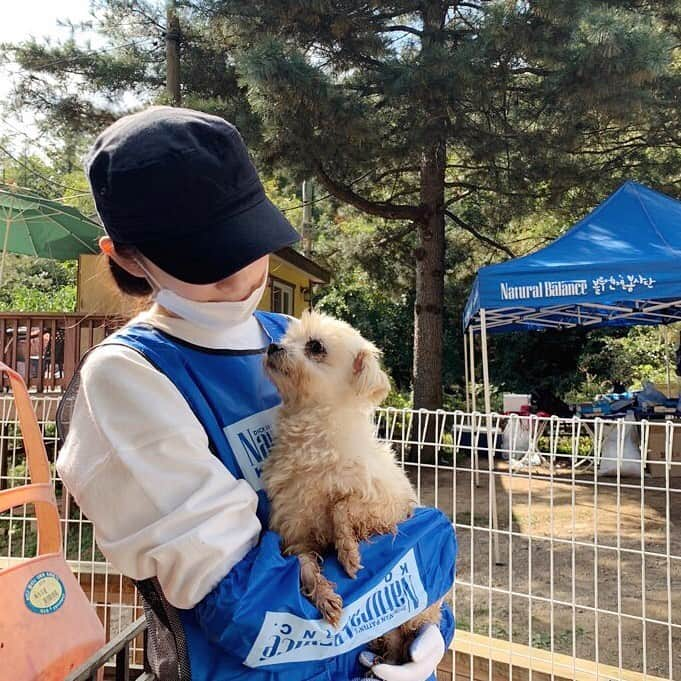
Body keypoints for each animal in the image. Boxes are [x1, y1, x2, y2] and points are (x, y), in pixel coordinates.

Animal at [260, 310, 440, 660]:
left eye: (315, 346)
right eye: (288, 338)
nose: (273, 346)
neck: (312, 439)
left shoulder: (389, 504)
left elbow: (343, 506)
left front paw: (348, 552)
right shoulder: (297, 535)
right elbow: (304, 564)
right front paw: (324, 596)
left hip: (421, 615)